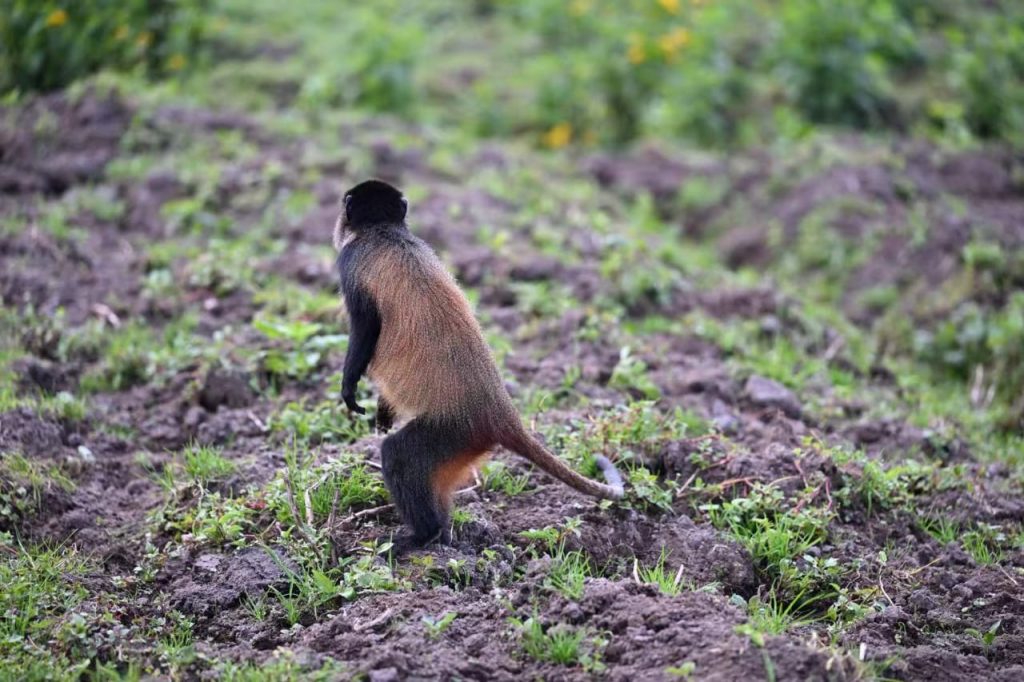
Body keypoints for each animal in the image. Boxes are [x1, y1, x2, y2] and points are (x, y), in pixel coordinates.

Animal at [334, 179, 625, 552]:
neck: (385, 231)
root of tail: (501, 413)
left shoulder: (351, 264)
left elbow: (365, 329)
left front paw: (350, 389)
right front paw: (383, 411)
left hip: (455, 432)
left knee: (398, 453)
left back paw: (424, 534)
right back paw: (442, 534)